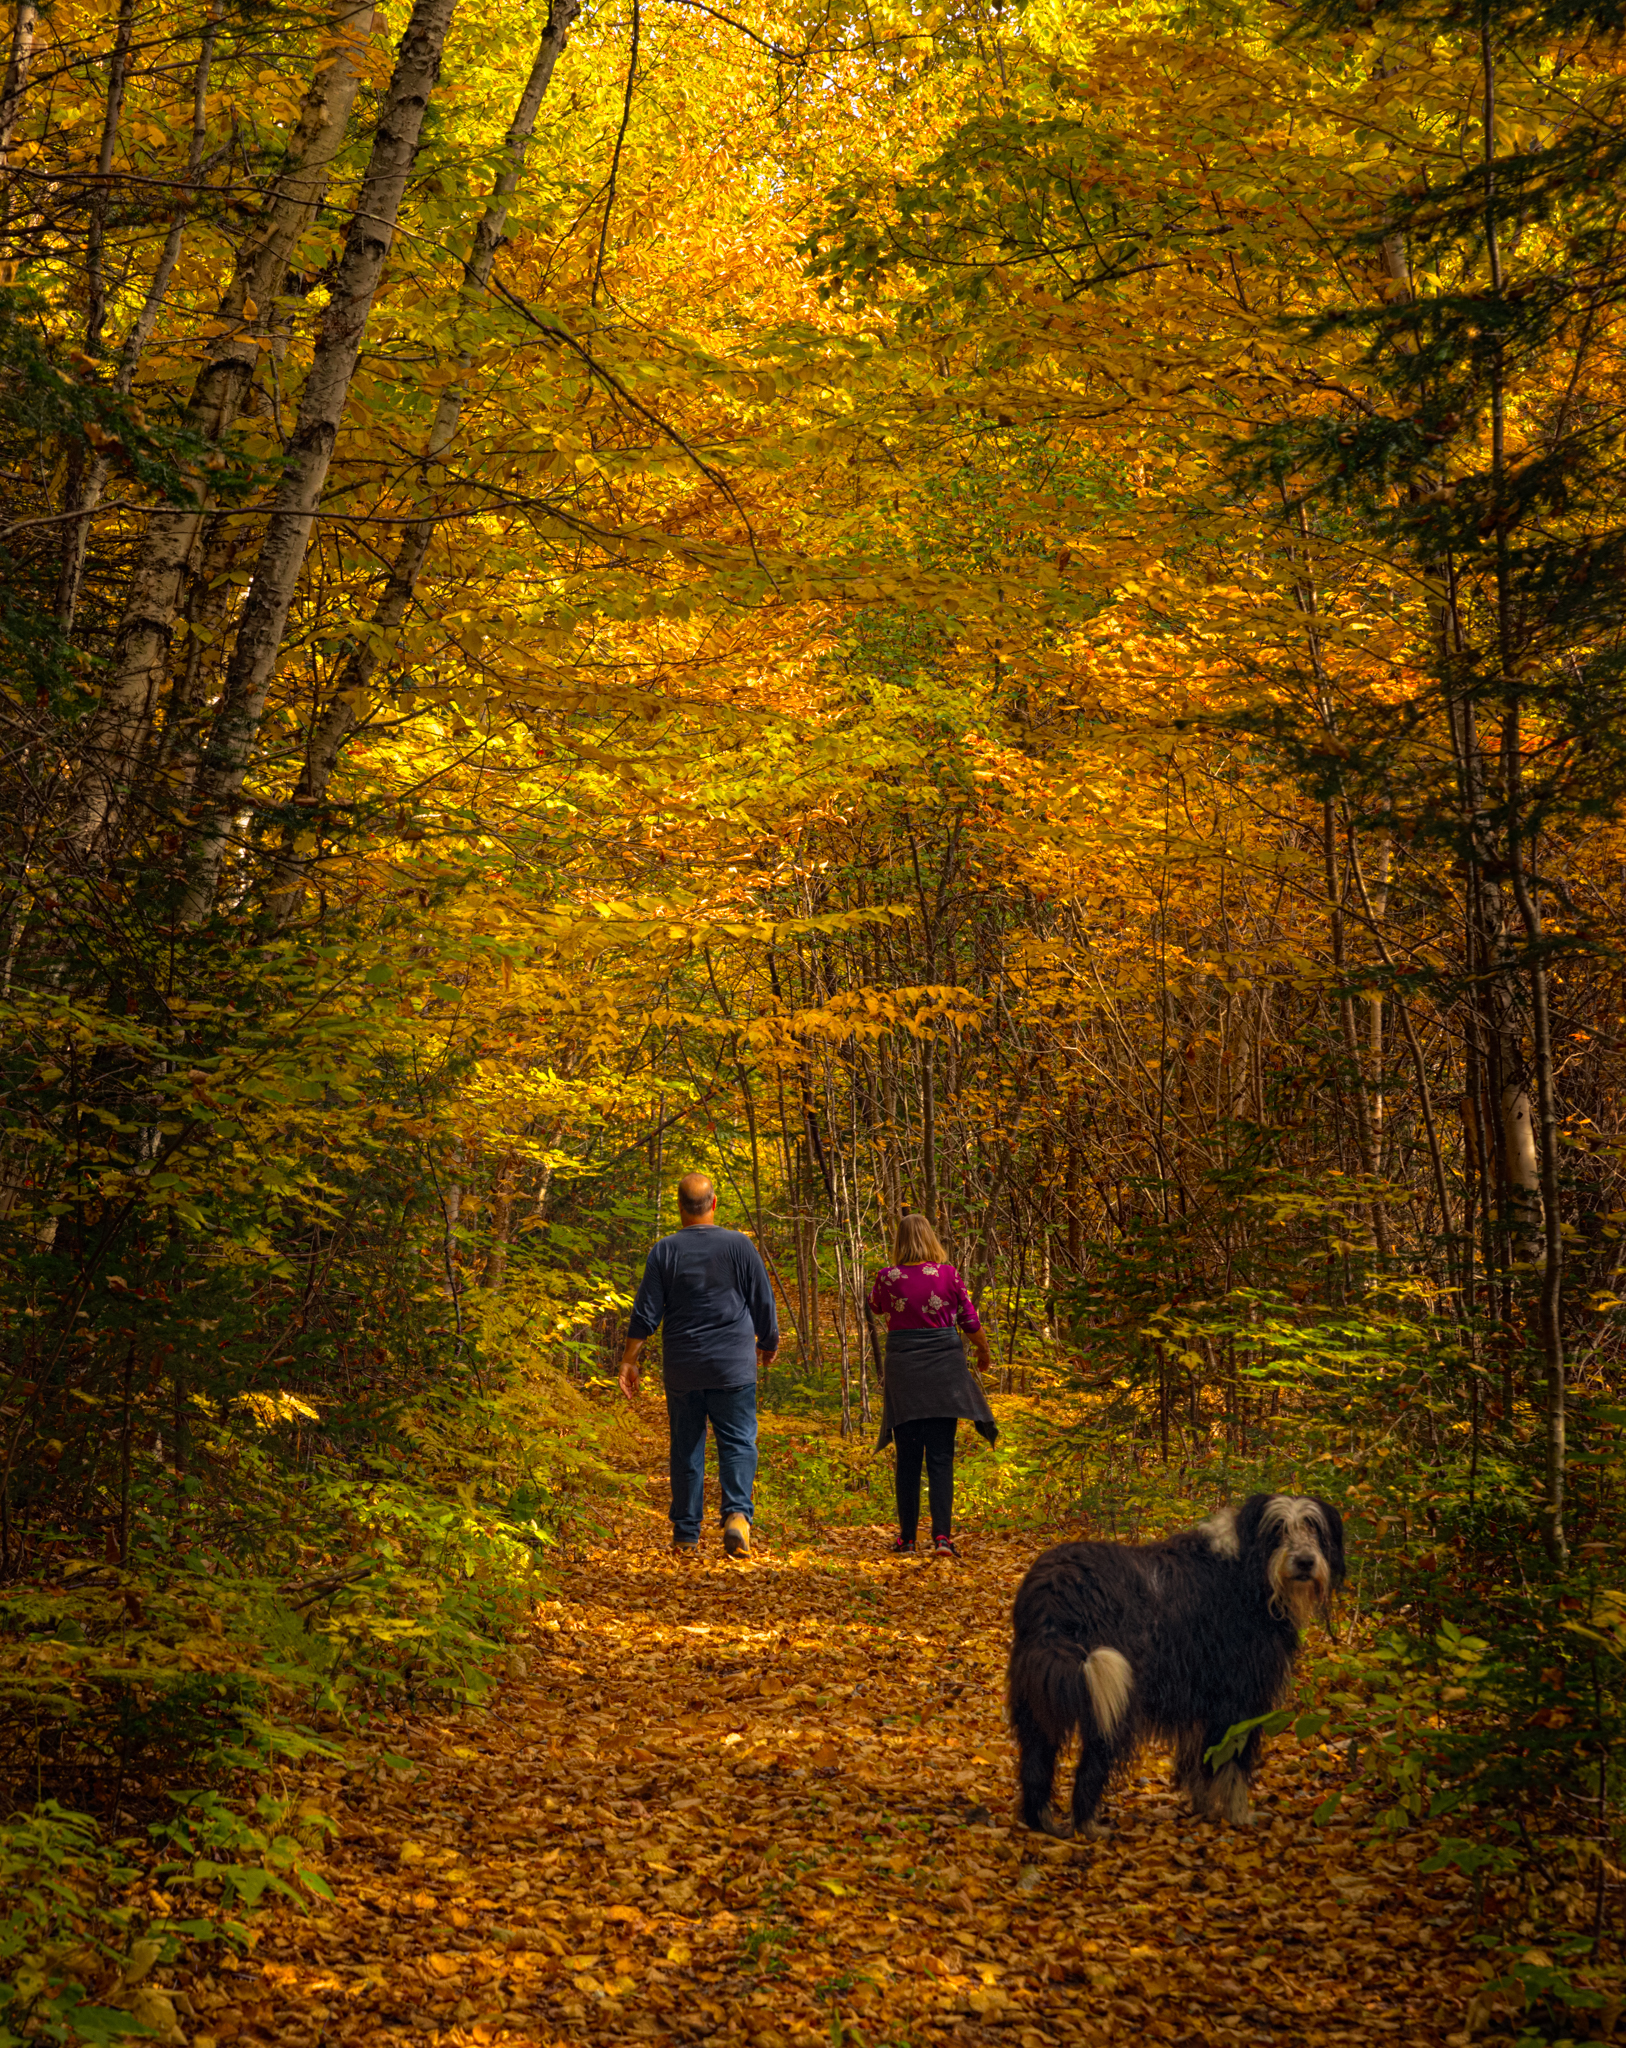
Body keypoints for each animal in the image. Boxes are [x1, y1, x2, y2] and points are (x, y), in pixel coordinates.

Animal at [1007, 1490, 1335, 1843]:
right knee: (1092, 1765)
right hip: (1112, 1692)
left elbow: (1200, 1761)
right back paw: (1088, 1825)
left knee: (1035, 1761)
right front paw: (1238, 1815)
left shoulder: (1199, 1700)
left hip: (1038, 1691)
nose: (1306, 1562)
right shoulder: (1240, 1701)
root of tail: (1054, 1591)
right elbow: (1232, 1762)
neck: (1246, 1571)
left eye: (1314, 1528)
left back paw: (1040, 1820)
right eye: (1278, 1529)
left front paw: (1205, 1807)